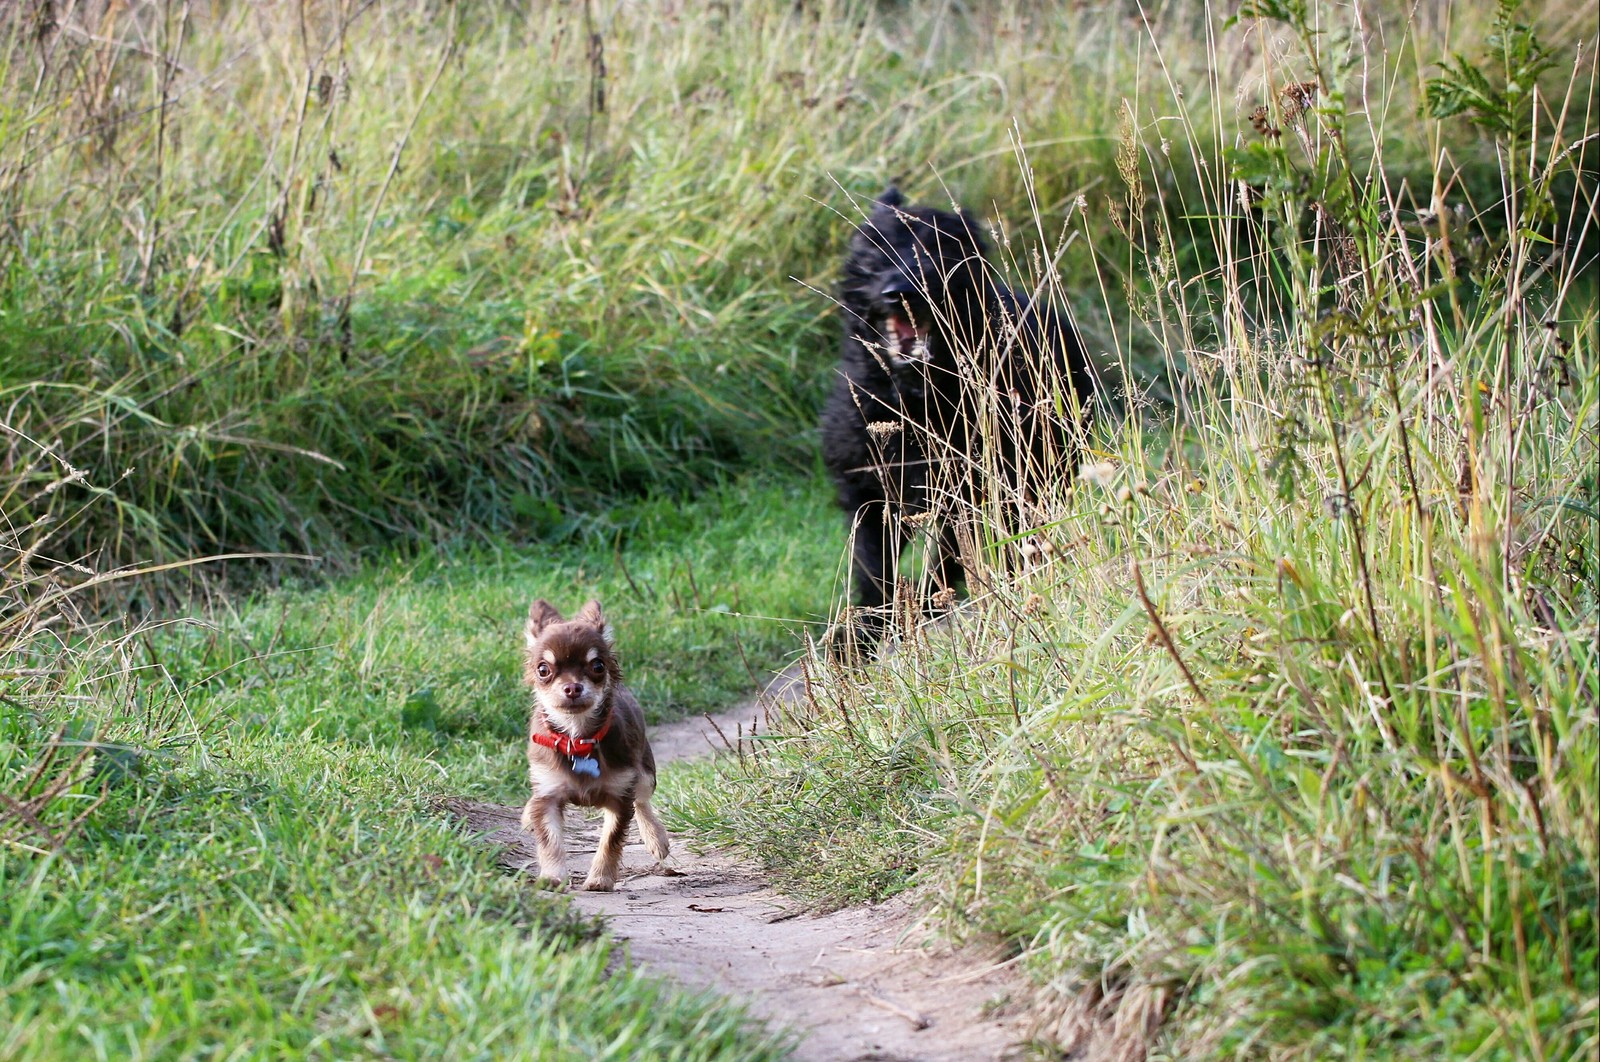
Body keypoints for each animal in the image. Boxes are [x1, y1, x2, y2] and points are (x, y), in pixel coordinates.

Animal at [819, 186, 1094, 642]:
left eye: (939, 251)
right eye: (873, 253)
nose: (899, 291)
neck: (914, 397)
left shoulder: (973, 492)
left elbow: (949, 561)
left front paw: (927, 607)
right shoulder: (870, 493)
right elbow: (875, 569)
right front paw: (867, 632)